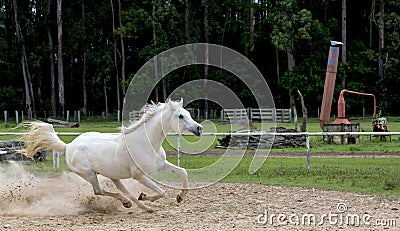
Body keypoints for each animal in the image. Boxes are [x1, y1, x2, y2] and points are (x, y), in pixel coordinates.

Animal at [19, 98, 202, 212]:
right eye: (180, 116)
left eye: (189, 113)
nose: (199, 128)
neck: (146, 142)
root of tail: (69, 146)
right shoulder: (139, 175)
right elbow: (162, 191)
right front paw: (145, 196)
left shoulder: (160, 165)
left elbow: (183, 172)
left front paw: (180, 197)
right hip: (89, 174)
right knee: (99, 191)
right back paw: (132, 203)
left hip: (113, 175)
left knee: (123, 191)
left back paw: (140, 206)